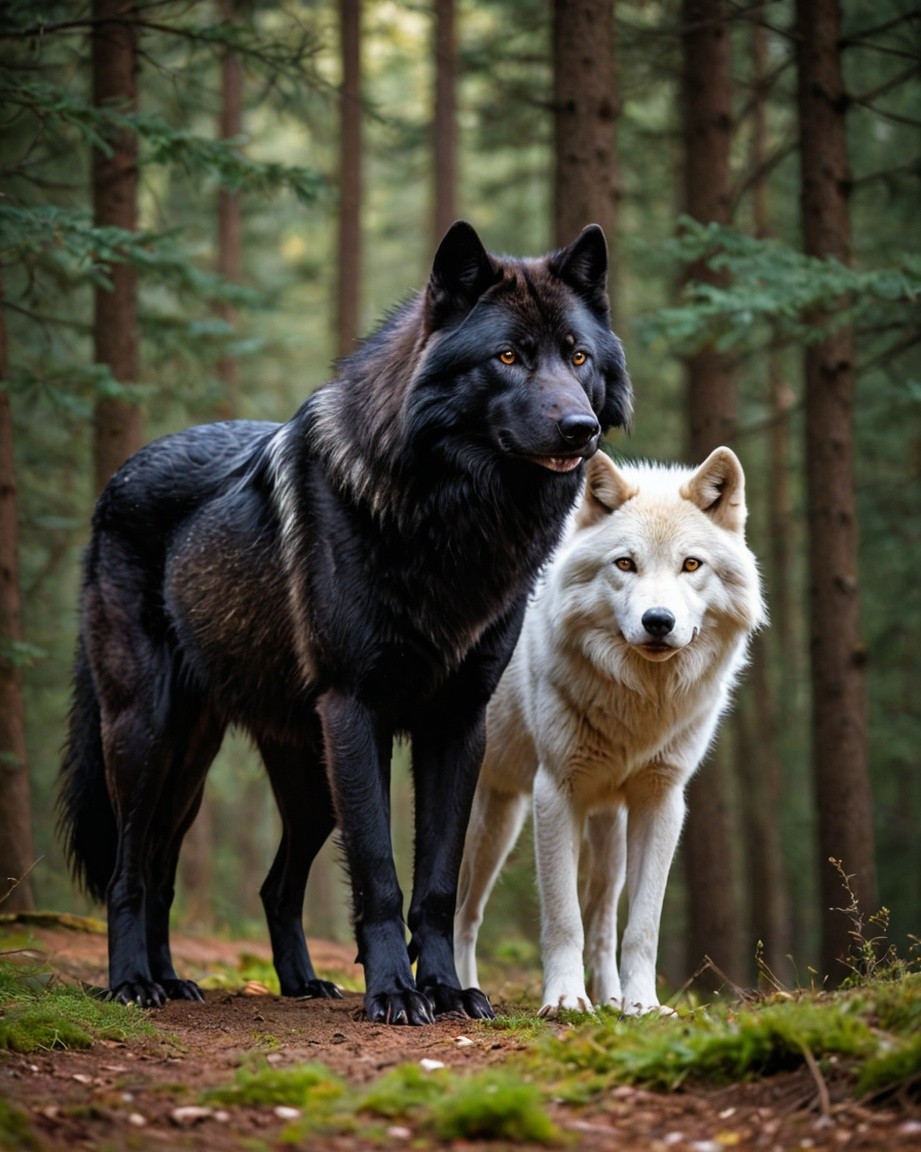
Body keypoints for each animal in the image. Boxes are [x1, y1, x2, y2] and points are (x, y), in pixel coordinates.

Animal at [57, 221, 633, 1025]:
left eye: (578, 357)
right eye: (508, 357)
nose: (580, 428)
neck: (452, 522)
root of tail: (113, 482)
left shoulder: (457, 724)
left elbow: (437, 883)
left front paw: (447, 990)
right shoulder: (358, 713)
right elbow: (380, 875)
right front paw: (394, 991)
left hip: (263, 774)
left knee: (237, 879)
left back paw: (253, 982)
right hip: (149, 739)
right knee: (128, 869)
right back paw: (134, 983)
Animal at [454, 447, 766, 1016]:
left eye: (691, 564)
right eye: (625, 563)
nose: (658, 621)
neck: (640, 703)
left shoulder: (660, 802)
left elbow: (639, 926)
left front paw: (641, 1006)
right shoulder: (556, 793)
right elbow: (562, 917)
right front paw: (565, 999)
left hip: (604, 834)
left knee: (598, 919)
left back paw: (613, 997)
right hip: (490, 827)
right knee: (461, 913)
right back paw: (464, 990)